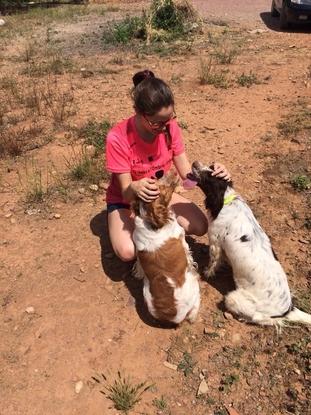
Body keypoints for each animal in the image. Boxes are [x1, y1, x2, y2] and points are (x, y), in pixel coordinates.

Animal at [132, 172, 201, 324]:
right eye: (162, 188)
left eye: (155, 178)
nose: (172, 172)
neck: (150, 220)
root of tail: (176, 316)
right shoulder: (182, 238)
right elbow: (189, 257)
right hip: (194, 286)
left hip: (146, 292)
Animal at [189, 161, 311, 326]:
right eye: (212, 167)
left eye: (209, 174)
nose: (194, 162)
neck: (226, 200)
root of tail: (287, 310)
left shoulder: (215, 242)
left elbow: (212, 263)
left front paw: (207, 273)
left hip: (233, 298)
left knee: (259, 318)